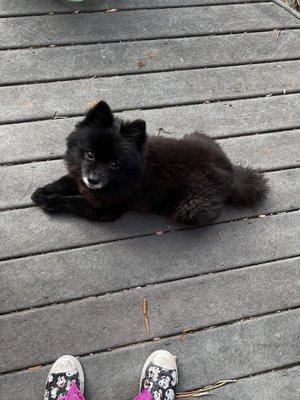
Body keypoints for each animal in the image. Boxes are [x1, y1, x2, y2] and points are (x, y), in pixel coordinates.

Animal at [32, 101, 268, 225]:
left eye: (114, 164)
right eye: (90, 154)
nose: (94, 179)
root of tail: (231, 176)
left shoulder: (107, 208)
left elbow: (74, 201)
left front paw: (51, 201)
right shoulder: (80, 176)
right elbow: (67, 181)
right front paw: (44, 191)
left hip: (191, 208)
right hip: (197, 136)